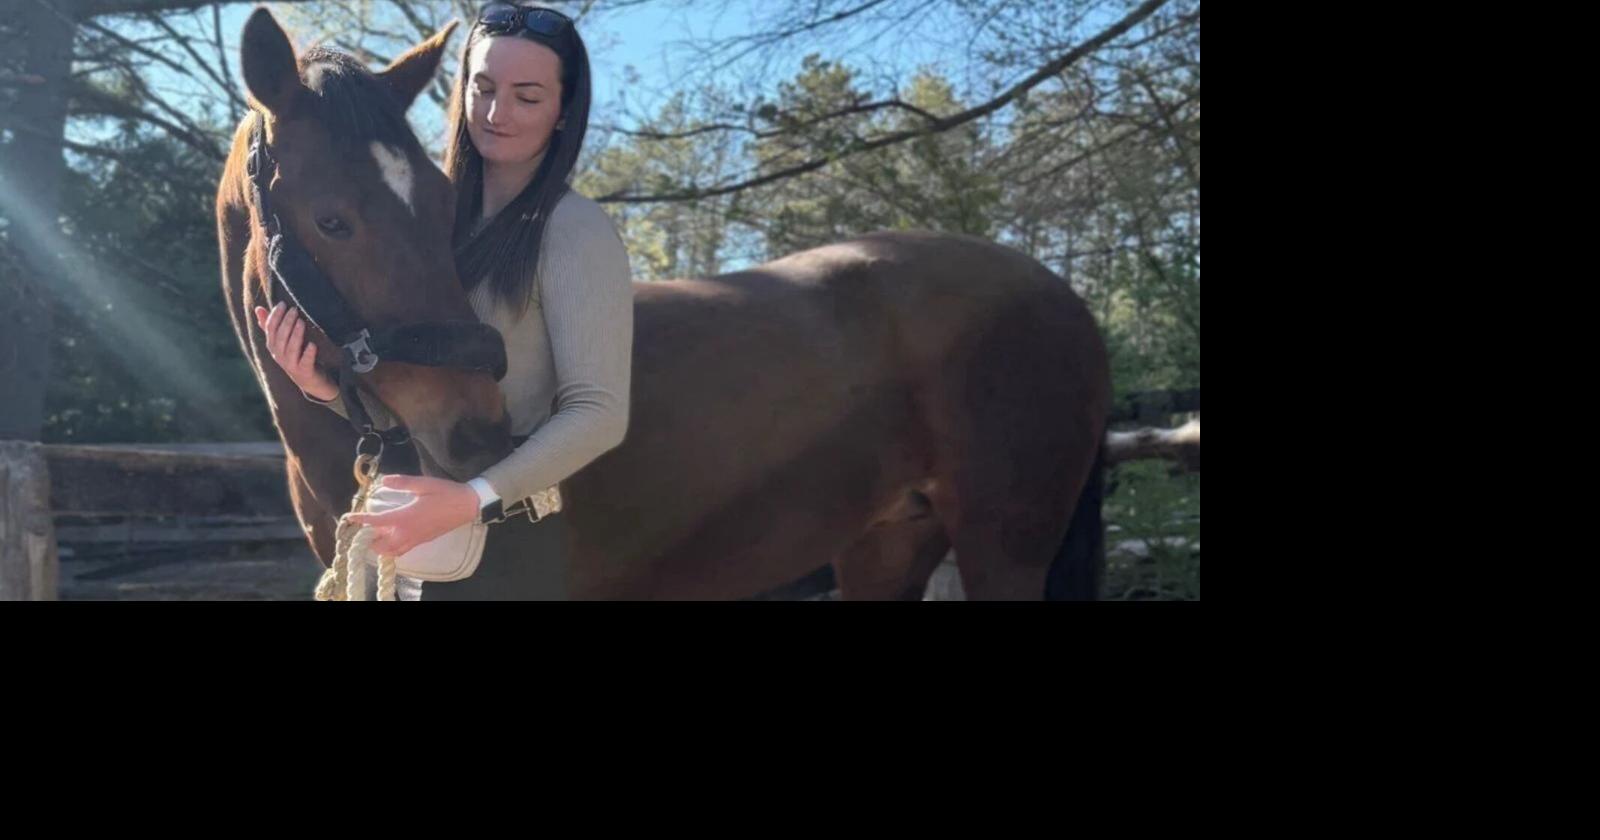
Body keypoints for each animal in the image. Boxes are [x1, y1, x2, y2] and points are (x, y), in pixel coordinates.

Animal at [217, 8, 1111, 601]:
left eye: (442, 208)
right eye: (333, 219)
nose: (477, 434)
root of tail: (1060, 292)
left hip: (1001, 551)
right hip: (886, 545)